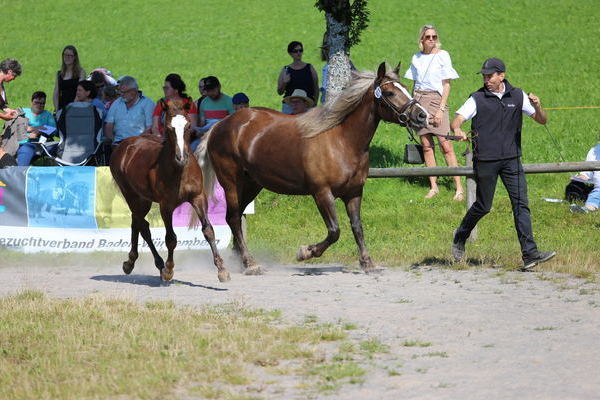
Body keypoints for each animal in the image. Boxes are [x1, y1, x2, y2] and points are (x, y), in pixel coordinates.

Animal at [109, 101, 229, 282]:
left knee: (136, 222)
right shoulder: (166, 205)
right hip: (130, 194)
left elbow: (208, 230)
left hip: (143, 199)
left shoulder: (198, 198)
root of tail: (124, 145)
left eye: (188, 125)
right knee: (143, 226)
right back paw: (156, 265)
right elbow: (171, 238)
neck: (179, 170)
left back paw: (131, 262)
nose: (182, 157)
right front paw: (169, 269)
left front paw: (222, 269)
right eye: (168, 128)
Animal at [197, 63, 426, 276]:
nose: (422, 116)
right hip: (231, 182)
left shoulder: (354, 192)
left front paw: (367, 262)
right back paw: (250, 263)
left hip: (252, 184)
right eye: (389, 93)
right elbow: (335, 231)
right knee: (234, 218)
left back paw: (242, 260)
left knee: (235, 217)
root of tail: (219, 126)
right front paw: (306, 252)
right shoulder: (322, 193)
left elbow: (357, 227)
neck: (343, 141)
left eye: (406, 88)